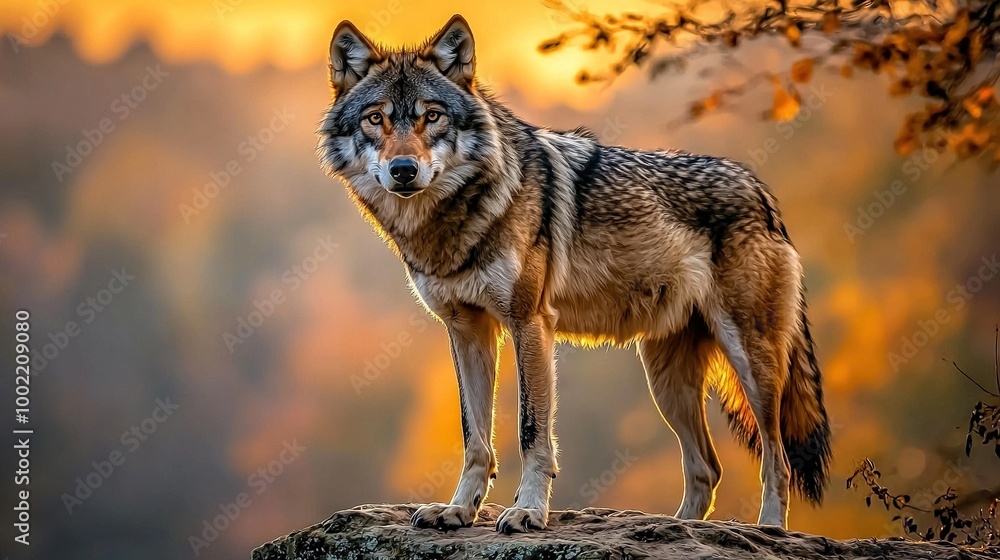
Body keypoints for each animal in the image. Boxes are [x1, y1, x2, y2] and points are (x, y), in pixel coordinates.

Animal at [318, 14, 828, 532]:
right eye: (376, 118)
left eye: (433, 116)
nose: (403, 169)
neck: (455, 219)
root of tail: (761, 190)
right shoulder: (466, 331)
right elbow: (473, 435)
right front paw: (459, 509)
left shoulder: (529, 324)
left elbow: (531, 430)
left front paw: (527, 511)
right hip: (665, 381)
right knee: (707, 466)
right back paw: (672, 527)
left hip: (751, 365)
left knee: (777, 459)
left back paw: (769, 529)